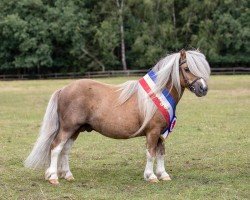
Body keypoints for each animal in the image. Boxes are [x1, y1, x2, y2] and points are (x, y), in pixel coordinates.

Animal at [24, 49, 210, 184]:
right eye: (187, 69)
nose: (203, 89)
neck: (157, 94)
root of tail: (64, 89)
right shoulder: (153, 132)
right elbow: (150, 153)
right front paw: (150, 176)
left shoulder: (161, 133)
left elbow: (161, 153)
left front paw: (163, 174)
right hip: (67, 128)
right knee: (56, 147)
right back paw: (54, 177)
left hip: (75, 130)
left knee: (65, 150)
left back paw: (67, 175)